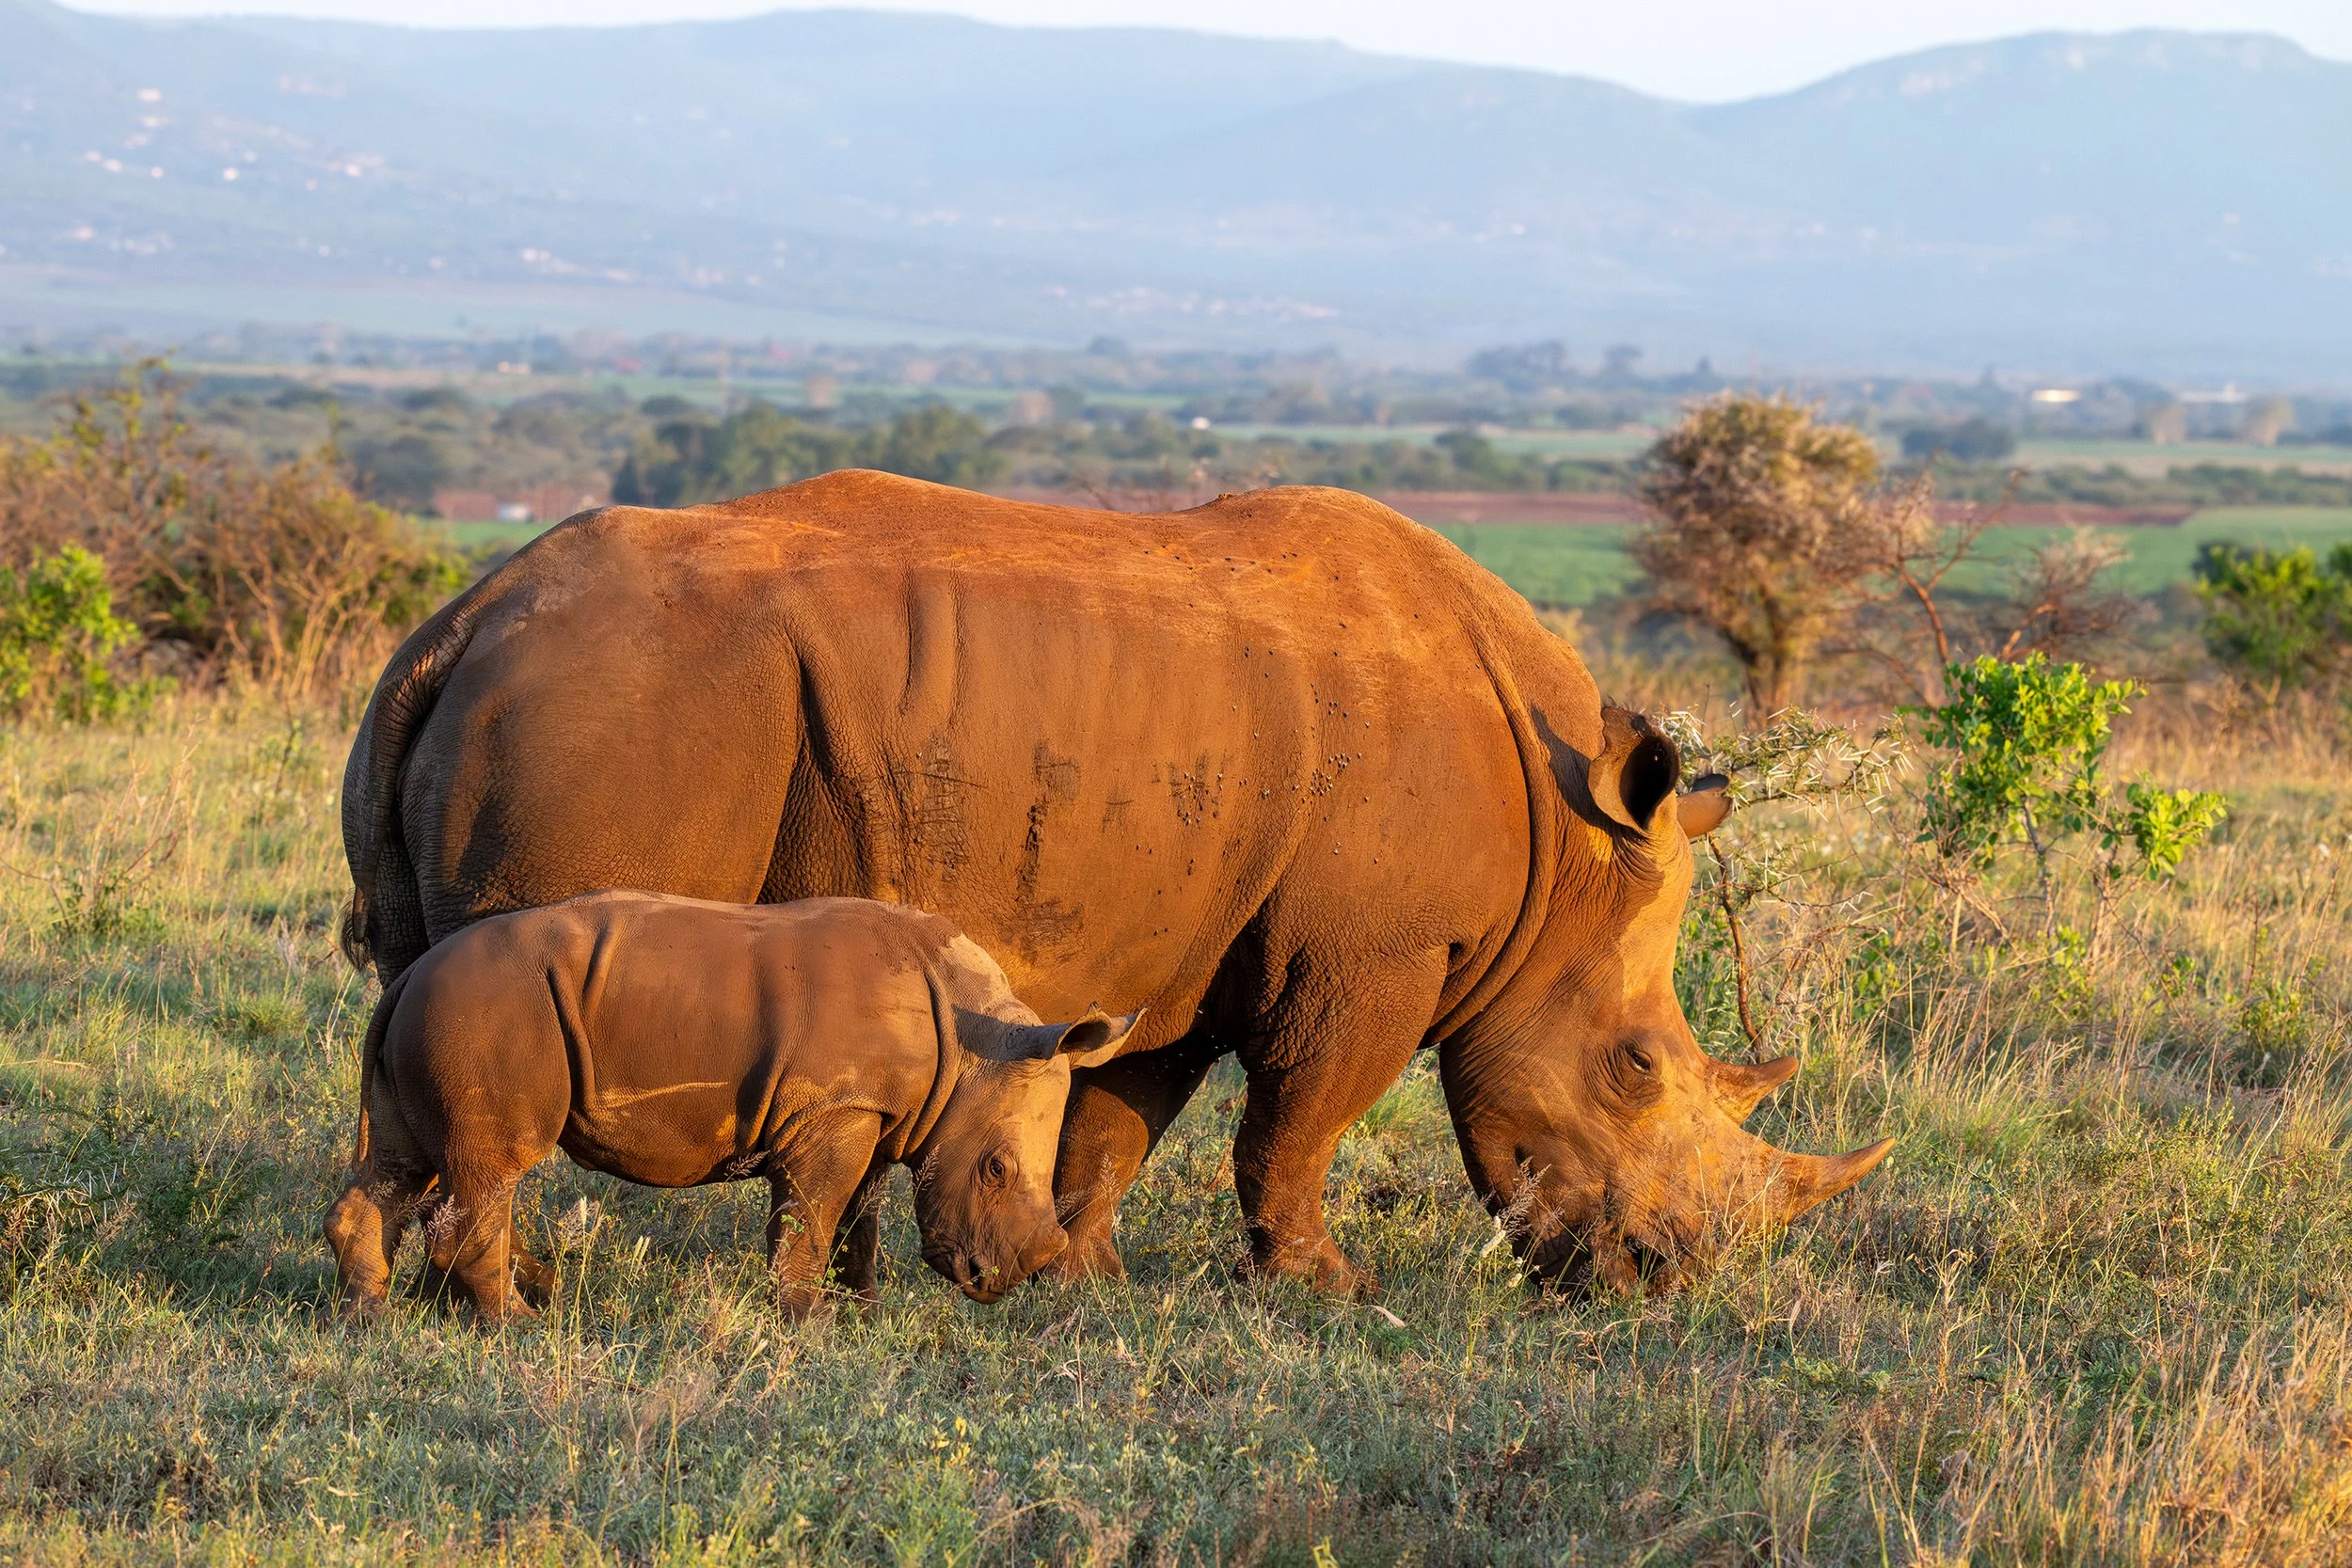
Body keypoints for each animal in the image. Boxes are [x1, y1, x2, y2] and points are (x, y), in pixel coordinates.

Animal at [323, 891, 1140, 1321]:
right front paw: (807, 1320)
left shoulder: (874, 1110)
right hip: (485, 1011)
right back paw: (518, 1327)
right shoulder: (834, 1108)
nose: (995, 1281)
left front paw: (863, 1308)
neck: (976, 1040)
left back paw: (371, 1318)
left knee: (407, 1164)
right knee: (491, 1170)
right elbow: (812, 1210)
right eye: (996, 1168)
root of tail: (406, 978)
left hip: (443, 1013)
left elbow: (860, 1213)